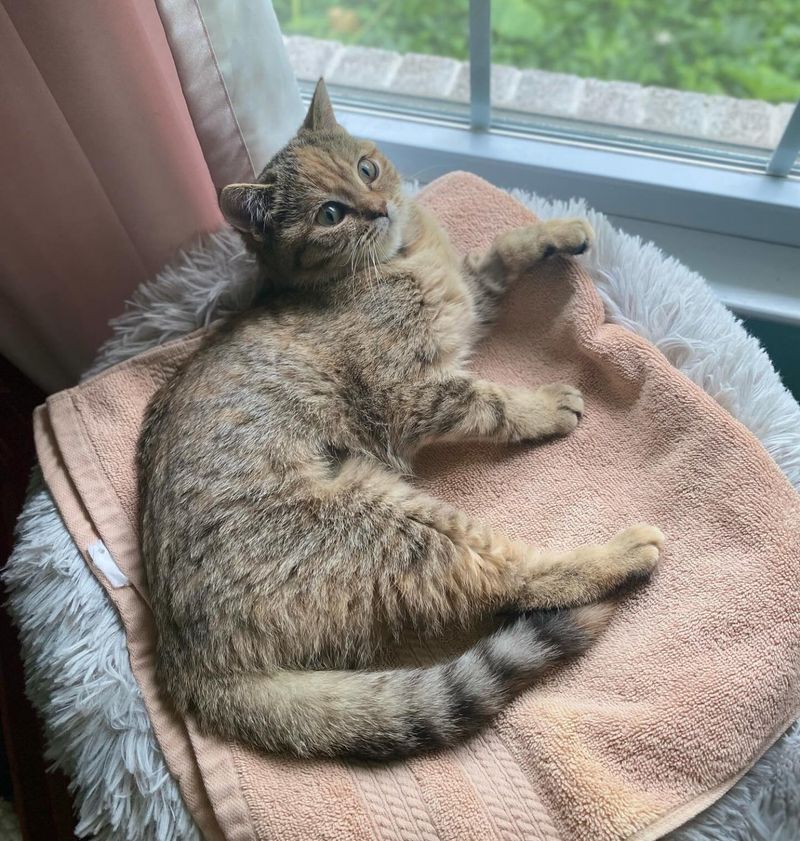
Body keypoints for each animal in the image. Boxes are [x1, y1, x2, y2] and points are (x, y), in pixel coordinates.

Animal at [138, 80, 664, 760]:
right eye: (330, 214)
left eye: (366, 168)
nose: (379, 208)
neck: (402, 259)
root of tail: (191, 668)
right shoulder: (408, 394)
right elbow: (487, 401)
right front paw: (542, 406)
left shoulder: (468, 296)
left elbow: (496, 252)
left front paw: (558, 229)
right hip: (393, 525)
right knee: (509, 580)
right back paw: (618, 555)